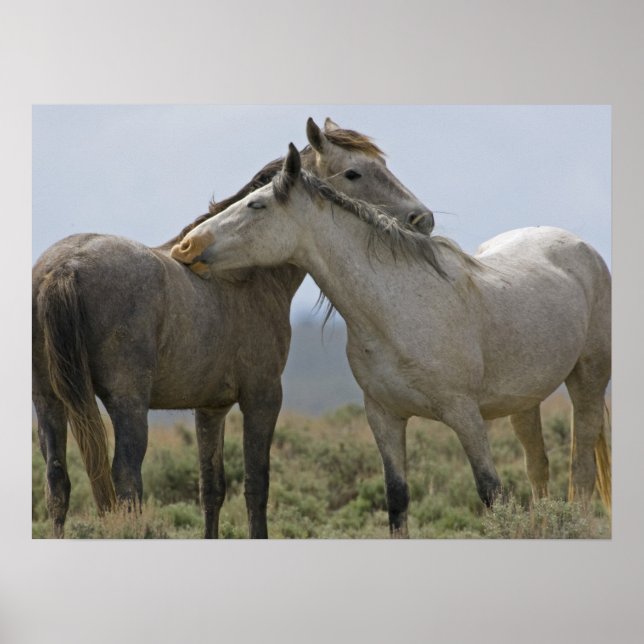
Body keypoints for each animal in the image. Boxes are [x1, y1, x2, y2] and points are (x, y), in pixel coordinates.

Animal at [32, 117, 434, 538]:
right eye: (355, 172)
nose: (422, 220)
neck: (245, 274)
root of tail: (65, 267)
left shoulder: (211, 407)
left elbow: (212, 487)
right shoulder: (263, 396)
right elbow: (256, 485)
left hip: (48, 401)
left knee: (57, 482)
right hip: (127, 403)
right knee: (125, 480)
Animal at [172, 144, 612, 538]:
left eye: (256, 206)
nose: (186, 246)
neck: (397, 309)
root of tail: (583, 249)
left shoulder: (465, 415)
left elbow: (491, 494)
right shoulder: (384, 416)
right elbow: (397, 499)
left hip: (587, 382)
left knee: (581, 470)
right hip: (524, 402)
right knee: (539, 468)